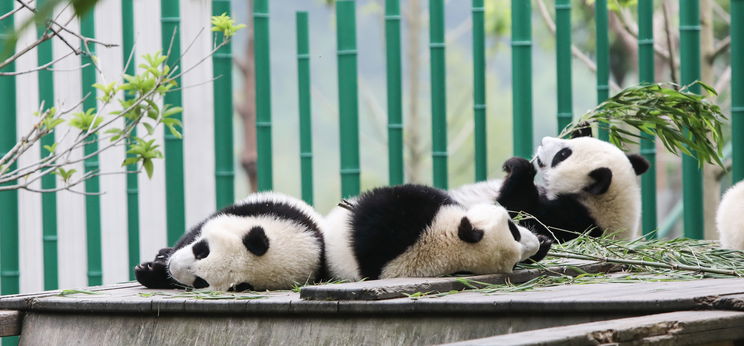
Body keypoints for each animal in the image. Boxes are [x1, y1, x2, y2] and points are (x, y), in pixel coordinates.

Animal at [135, 192, 326, 292]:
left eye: (201, 282)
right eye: (202, 251)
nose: (173, 267)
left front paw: (150, 271)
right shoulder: (261, 210)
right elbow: (194, 232)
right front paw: (156, 263)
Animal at [448, 130, 644, 243]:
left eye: (563, 154)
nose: (543, 141)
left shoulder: (568, 222)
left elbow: (516, 209)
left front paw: (519, 165)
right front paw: (583, 126)